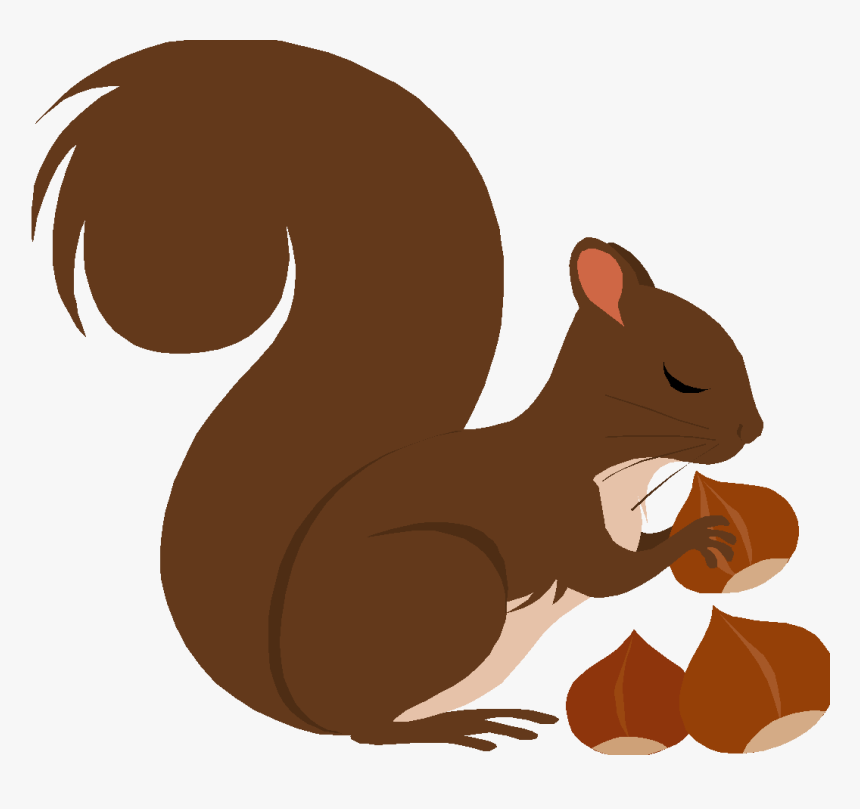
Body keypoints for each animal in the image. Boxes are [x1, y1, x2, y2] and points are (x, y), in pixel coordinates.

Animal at [33, 40, 764, 752]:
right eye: (680, 376)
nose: (752, 431)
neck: (614, 461)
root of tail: (299, 705)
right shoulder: (558, 512)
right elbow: (611, 576)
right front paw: (695, 535)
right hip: (446, 585)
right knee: (368, 728)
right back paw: (461, 726)